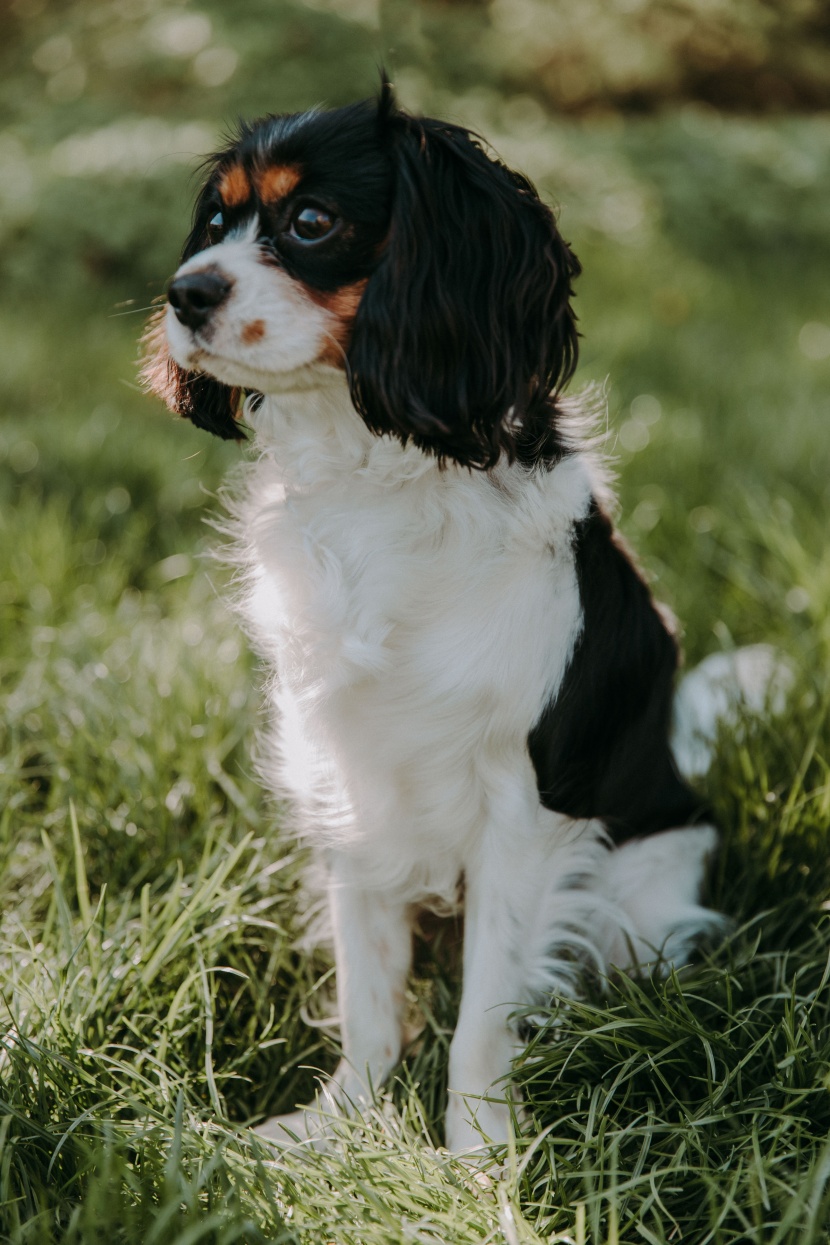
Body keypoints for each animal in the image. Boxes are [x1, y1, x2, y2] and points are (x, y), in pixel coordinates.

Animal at [144, 82, 751, 1150]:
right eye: (215, 225)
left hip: (642, 893)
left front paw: (478, 1155)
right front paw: (339, 1125)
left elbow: (485, 1012)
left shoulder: (521, 806)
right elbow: (369, 991)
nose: (186, 292)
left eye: (311, 222)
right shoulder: (346, 781)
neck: (376, 472)